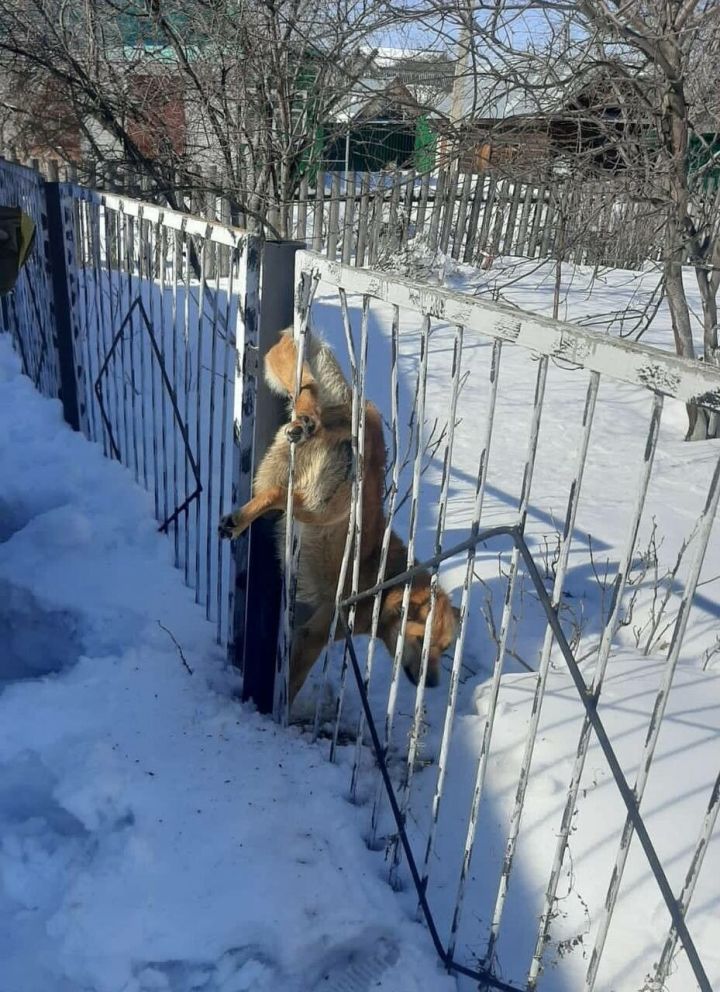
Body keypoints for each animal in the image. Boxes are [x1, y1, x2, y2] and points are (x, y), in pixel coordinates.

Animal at [217, 330, 462, 700]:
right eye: (423, 642)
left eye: (445, 649)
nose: (431, 684)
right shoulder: (317, 633)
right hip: (327, 507)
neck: (385, 584)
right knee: (282, 495)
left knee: (306, 395)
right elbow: (294, 680)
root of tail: (353, 413)